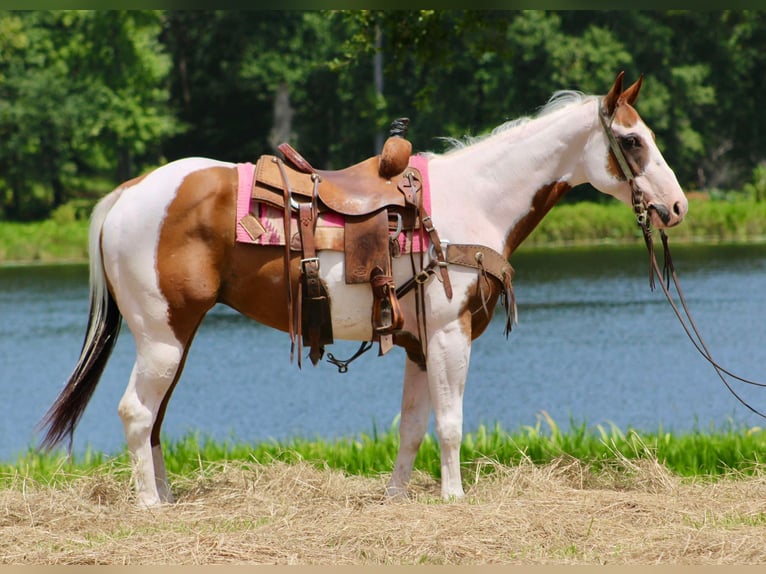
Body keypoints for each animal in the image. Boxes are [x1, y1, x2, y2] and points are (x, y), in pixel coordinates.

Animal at [39, 72, 688, 507]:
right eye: (632, 141)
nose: (676, 207)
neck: (473, 201)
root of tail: (131, 192)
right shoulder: (450, 337)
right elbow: (450, 422)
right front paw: (454, 497)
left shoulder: (420, 345)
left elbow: (412, 426)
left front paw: (399, 497)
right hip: (163, 336)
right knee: (136, 411)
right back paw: (151, 507)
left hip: (176, 338)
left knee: (155, 417)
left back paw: (168, 499)